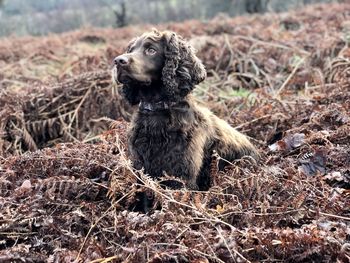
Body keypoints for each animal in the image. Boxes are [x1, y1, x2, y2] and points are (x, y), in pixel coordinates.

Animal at [113, 29, 258, 191]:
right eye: (131, 50)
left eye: (151, 50)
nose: (118, 61)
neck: (157, 110)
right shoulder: (140, 167)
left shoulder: (182, 176)